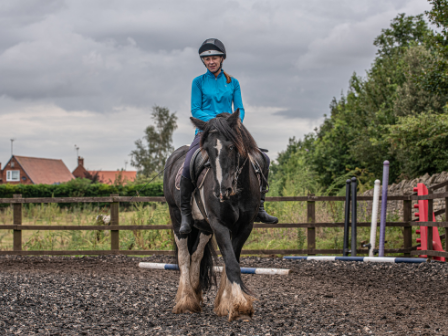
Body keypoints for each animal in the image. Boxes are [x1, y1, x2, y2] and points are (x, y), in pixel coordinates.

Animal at [164, 109, 264, 320]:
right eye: (208, 150)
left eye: (232, 147)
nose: (221, 191)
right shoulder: (219, 225)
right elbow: (231, 262)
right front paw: (240, 304)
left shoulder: (245, 226)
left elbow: (231, 260)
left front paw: (226, 303)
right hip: (177, 218)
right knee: (184, 257)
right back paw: (185, 300)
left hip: (204, 228)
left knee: (196, 255)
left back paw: (195, 296)